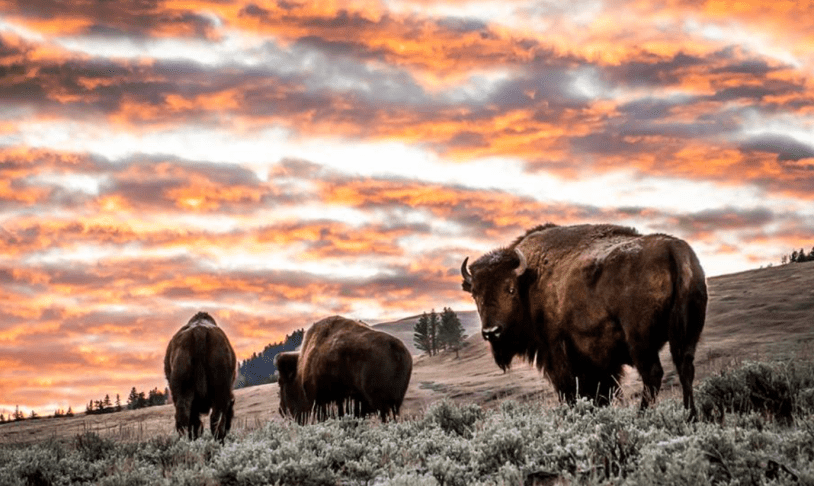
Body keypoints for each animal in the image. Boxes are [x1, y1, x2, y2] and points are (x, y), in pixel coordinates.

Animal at [164, 312, 236, 440]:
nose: (229, 428)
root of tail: (199, 330)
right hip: (219, 392)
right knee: (216, 419)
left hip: (184, 390)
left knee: (184, 418)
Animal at [275, 315, 413, 424]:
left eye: (281, 383)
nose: (281, 410)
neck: (300, 368)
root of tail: (396, 348)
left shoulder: (321, 403)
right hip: (394, 404)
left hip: (381, 404)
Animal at [461, 223, 707, 419]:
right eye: (475, 294)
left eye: (510, 289)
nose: (492, 331)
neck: (530, 280)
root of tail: (674, 251)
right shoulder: (600, 364)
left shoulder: (559, 354)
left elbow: (572, 391)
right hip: (687, 337)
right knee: (685, 369)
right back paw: (690, 415)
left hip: (640, 341)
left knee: (653, 374)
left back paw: (642, 416)